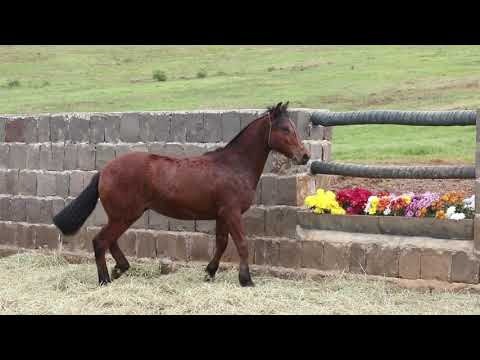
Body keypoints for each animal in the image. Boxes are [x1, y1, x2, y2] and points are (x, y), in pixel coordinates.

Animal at [52, 102, 312, 286]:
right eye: (285, 129)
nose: (305, 156)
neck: (234, 165)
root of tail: (104, 170)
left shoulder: (222, 215)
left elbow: (221, 243)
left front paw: (210, 273)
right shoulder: (232, 213)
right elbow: (241, 244)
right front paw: (246, 280)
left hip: (122, 215)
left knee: (110, 241)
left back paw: (120, 269)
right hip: (124, 215)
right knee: (101, 241)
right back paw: (105, 279)